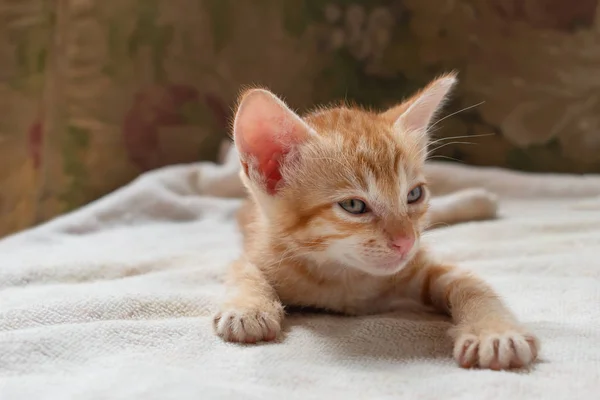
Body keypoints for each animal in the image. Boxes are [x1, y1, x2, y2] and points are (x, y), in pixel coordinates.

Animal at [214, 73, 540, 370]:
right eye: (354, 206)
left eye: (414, 195)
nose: (406, 242)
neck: (342, 278)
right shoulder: (258, 250)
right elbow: (243, 271)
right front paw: (248, 309)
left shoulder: (420, 264)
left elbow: (473, 285)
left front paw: (495, 333)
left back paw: (478, 199)